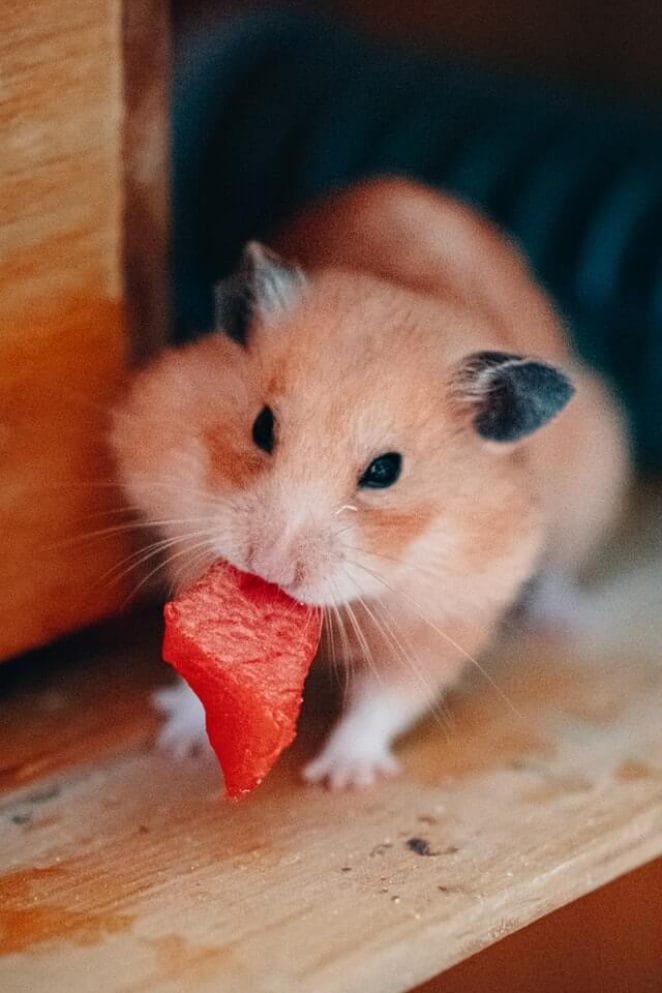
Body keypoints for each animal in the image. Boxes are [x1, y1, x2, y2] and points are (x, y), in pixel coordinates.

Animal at [111, 177, 629, 789]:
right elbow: (198, 669)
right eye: (262, 427)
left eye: (385, 471)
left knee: (561, 571)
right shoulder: (187, 535)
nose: (270, 567)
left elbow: (385, 699)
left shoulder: (444, 614)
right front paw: (177, 742)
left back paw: (561, 624)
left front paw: (339, 778)